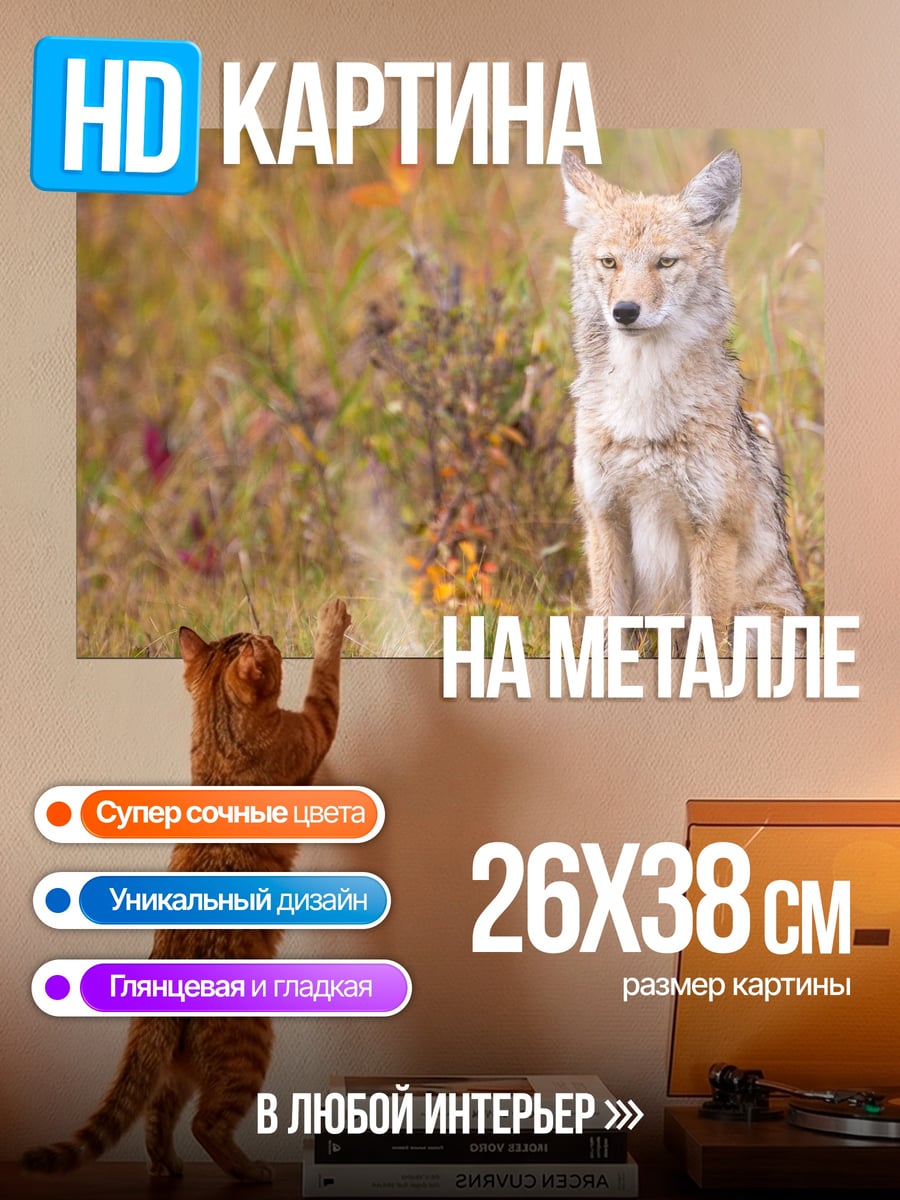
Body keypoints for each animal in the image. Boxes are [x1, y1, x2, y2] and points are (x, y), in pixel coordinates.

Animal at [561, 148, 805, 653]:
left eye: (665, 262)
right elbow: (609, 633)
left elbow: (707, 634)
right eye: (610, 262)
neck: (641, 407)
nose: (625, 311)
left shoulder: (713, 532)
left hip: (757, 624)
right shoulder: (603, 522)